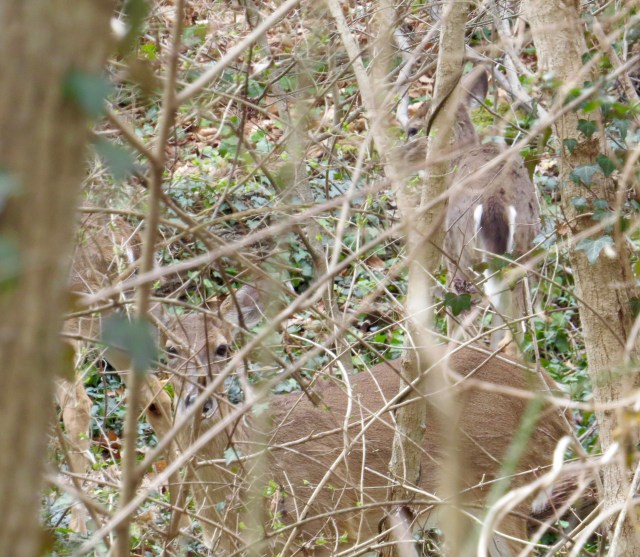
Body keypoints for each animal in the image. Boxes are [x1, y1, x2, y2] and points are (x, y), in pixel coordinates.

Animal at [165, 284, 576, 556]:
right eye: (170, 349)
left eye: (223, 348)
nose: (198, 401)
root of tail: (554, 394)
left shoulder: (327, 530)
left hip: (510, 487)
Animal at [403, 68, 540, 349]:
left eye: (412, 130)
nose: (398, 157)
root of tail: (495, 205)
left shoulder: (448, 249)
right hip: (523, 247)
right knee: (517, 320)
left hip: (464, 252)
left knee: (468, 307)